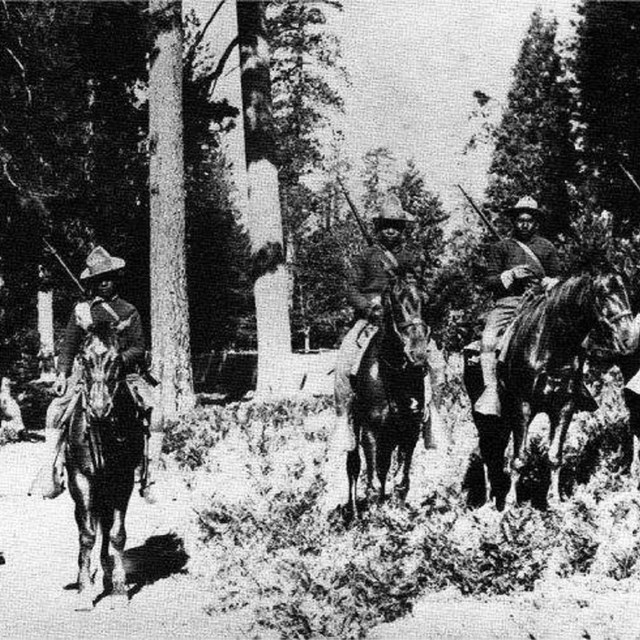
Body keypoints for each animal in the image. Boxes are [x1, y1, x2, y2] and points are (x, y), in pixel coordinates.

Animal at [65, 322, 145, 608]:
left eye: (116, 359)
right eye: (84, 358)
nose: (99, 408)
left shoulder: (122, 479)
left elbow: (117, 535)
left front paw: (119, 590)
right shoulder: (81, 478)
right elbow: (87, 534)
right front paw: (84, 590)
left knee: (107, 525)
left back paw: (106, 575)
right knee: (86, 525)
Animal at [344, 270, 430, 516]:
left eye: (425, 300)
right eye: (396, 303)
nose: (418, 353)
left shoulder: (410, 430)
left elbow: (401, 480)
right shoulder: (370, 433)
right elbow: (372, 480)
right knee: (354, 466)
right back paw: (354, 513)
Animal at [462, 274, 636, 510]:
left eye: (625, 292)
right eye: (603, 295)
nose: (631, 339)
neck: (551, 346)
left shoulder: (564, 407)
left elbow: (554, 456)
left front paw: (555, 501)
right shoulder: (523, 406)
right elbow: (520, 458)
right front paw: (511, 504)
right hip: (487, 419)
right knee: (489, 453)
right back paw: (490, 502)